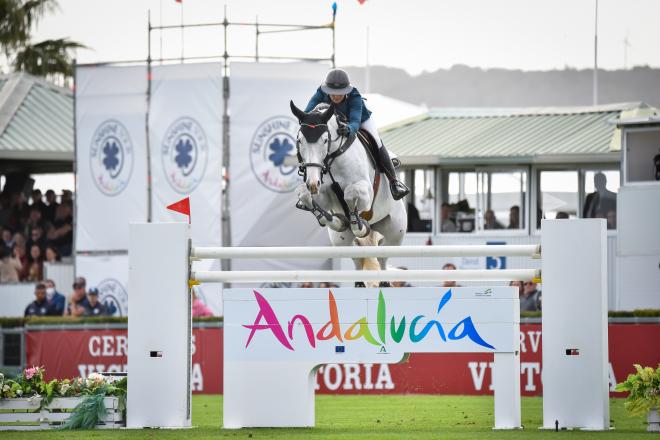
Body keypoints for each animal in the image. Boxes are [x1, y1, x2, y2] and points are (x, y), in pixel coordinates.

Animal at [288, 101, 408, 276]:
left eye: (325, 140)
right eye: (299, 140)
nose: (313, 183)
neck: (333, 158)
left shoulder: (366, 193)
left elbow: (350, 194)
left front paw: (358, 225)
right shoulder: (322, 196)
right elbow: (305, 196)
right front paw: (335, 220)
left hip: (395, 233)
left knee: (382, 258)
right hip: (341, 241)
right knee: (357, 260)